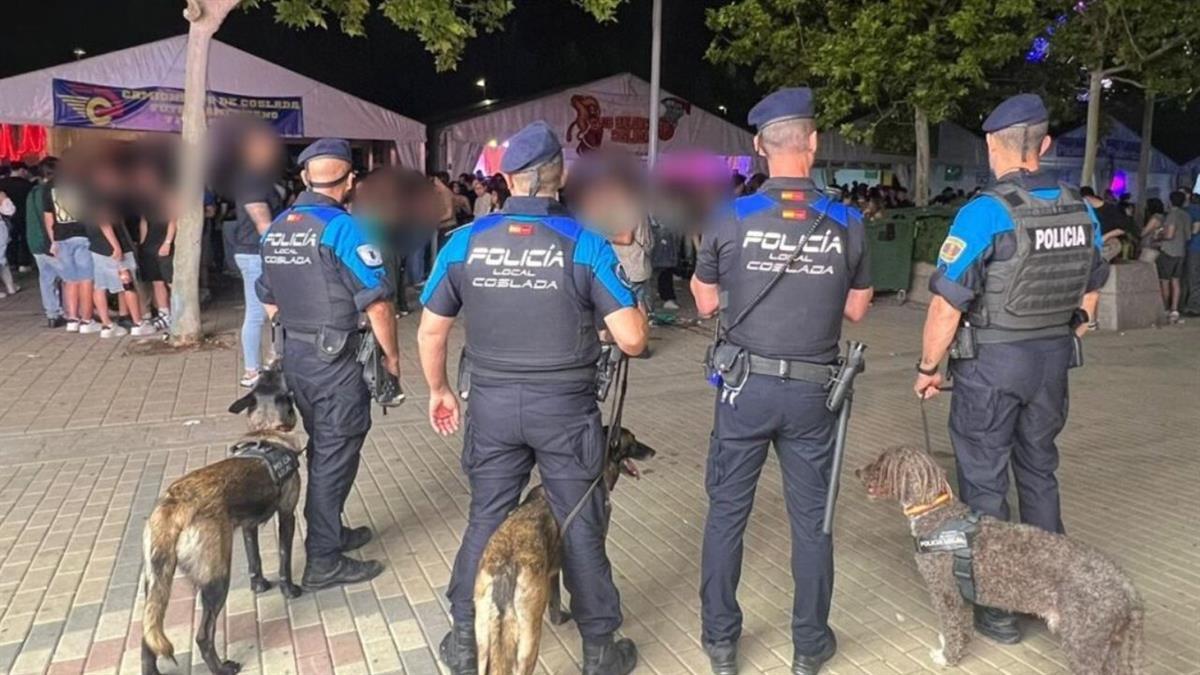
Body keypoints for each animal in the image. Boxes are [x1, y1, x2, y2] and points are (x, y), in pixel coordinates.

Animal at [141, 369, 304, 675]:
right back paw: (222, 667)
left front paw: (259, 584)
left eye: (268, 374)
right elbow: (284, 559)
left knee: (147, 640)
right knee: (203, 635)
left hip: (156, 583)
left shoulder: (248, 526)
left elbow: (255, 560)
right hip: (216, 579)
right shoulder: (287, 515)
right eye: (278, 374)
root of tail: (174, 504)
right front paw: (289, 590)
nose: (276, 362)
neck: (267, 433)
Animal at [474, 427, 656, 675]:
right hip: (528, 638)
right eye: (633, 442)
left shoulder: (552, 571)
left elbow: (555, 600)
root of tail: (505, 568)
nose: (653, 452)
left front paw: (559, 618)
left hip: (484, 641)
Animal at [857, 446, 1144, 674]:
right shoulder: (960, 595)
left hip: (1083, 641)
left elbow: (951, 628)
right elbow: (962, 627)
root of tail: (1128, 588)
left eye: (881, 463)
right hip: (1111, 644)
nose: (857, 471)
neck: (936, 514)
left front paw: (948, 657)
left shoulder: (945, 592)